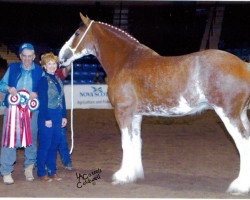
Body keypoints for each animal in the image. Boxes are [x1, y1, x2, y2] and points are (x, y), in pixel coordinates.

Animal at [59, 13, 250, 195]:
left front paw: (122, 176)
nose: (61, 58)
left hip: (229, 115)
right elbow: (136, 142)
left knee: (242, 143)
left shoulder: (123, 113)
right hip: (241, 115)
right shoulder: (136, 115)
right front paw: (134, 174)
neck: (126, 61)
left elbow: (125, 143)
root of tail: (244, 65)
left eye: (77, 33)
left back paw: (239, 186)